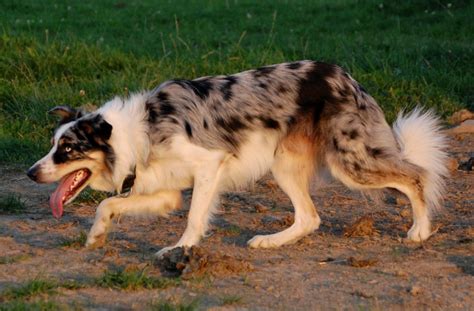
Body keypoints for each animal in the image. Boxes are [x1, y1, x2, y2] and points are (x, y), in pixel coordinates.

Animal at [26, 60, 448, 256]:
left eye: (67, 150)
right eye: (52, 145)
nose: (31, 173)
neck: (139, 132)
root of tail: (347, 77)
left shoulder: (209, 165)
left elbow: (195, 216)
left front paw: (180, 251)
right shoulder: (166, 191)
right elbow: (110, 205)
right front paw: (97, 234)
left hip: (350, 162)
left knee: (416, 175)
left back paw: (420, 230)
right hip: (285, 164)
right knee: (310, 217)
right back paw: (271, 242)